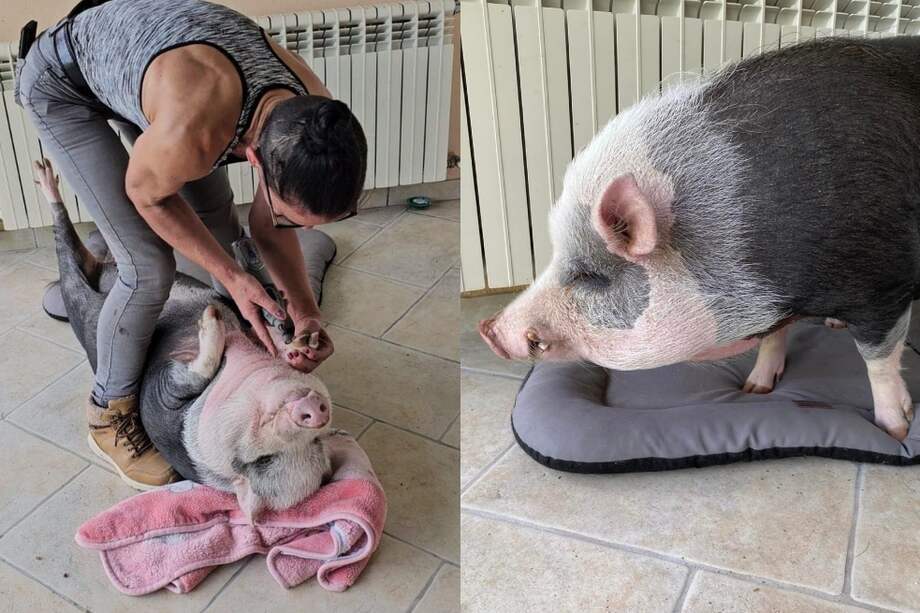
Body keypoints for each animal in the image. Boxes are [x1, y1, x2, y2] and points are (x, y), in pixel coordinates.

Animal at [480, 36, 920, 441]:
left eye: (589, 276)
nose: (489, 329)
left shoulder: (883, 288)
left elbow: (878, 362)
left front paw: (896, 430)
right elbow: (774, 336)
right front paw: (755, 389)